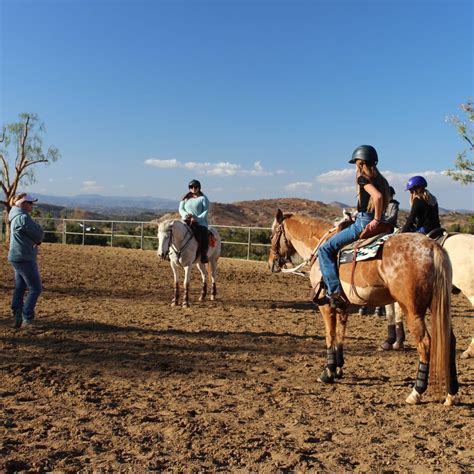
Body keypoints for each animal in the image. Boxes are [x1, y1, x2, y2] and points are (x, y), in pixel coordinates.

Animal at [268, 209, 458, 406]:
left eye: (272, 235)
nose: (271, 263)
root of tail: (432, 247)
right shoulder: (342, 305)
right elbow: (340, 334)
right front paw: (338, 368)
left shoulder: (326, 305)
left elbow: (330, 335)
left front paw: (328, 372)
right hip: (437, 307)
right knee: (450, 341)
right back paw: (451, 393)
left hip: (413, 310)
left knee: (426, 343)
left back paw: (416, 392)